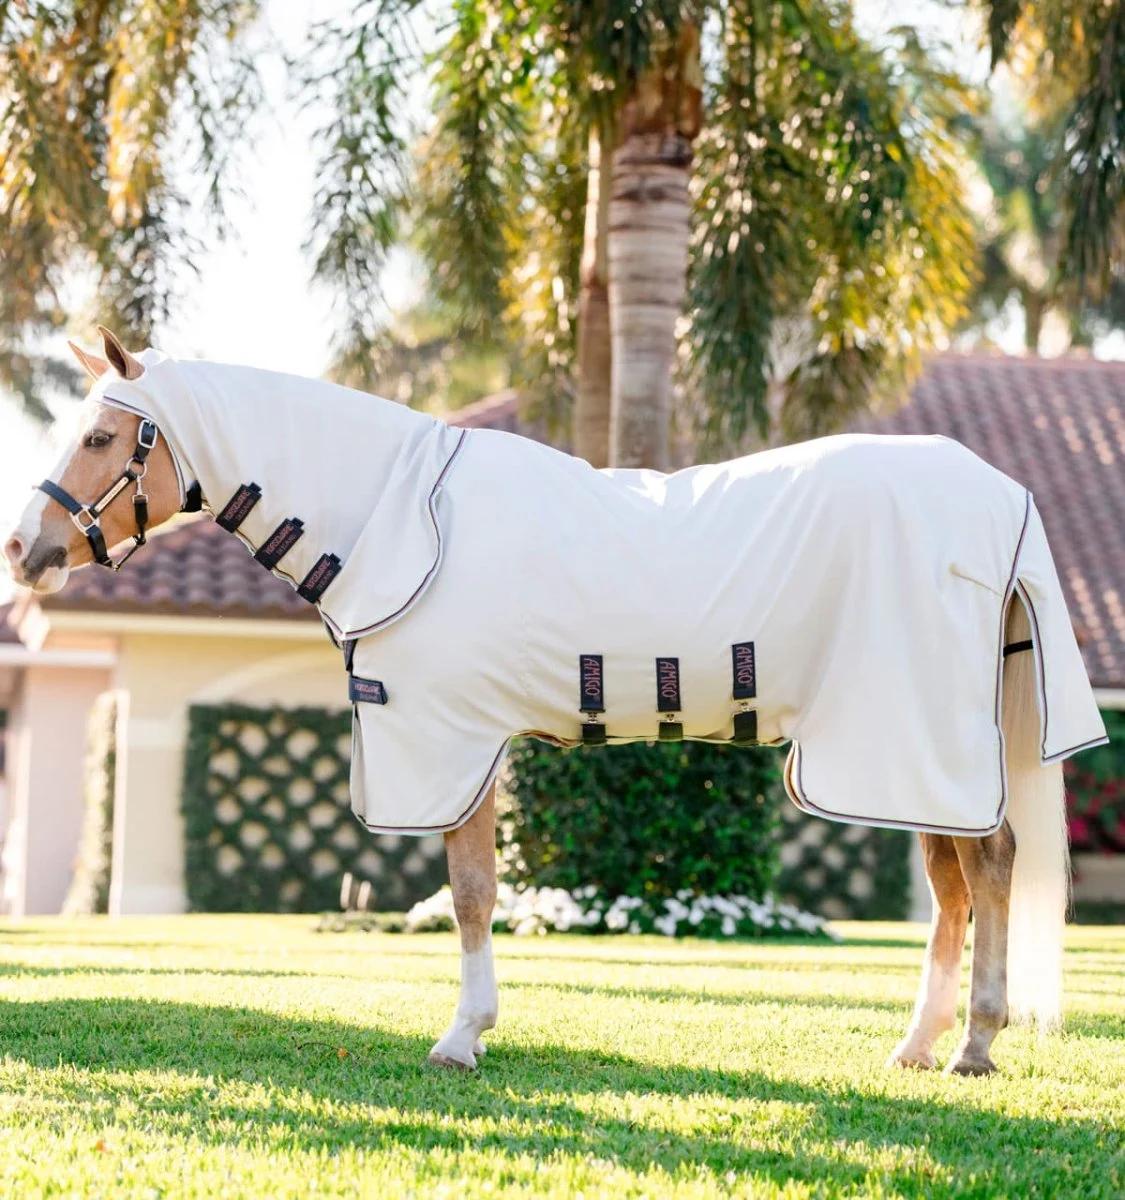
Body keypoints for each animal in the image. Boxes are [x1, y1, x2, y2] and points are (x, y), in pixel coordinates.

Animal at [3, 327, 1106, 1076]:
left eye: (101, 434)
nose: (25, 550)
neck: (403, 518)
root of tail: (1000, 497)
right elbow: (475, 889)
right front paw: (472, 1028)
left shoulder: (452, 742)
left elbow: (470, 892)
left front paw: (462, 1036)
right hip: (903, 750)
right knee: (953, 886)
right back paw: (920, 1045)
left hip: (911, 740)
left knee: (990, 869)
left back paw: (972, 1046)